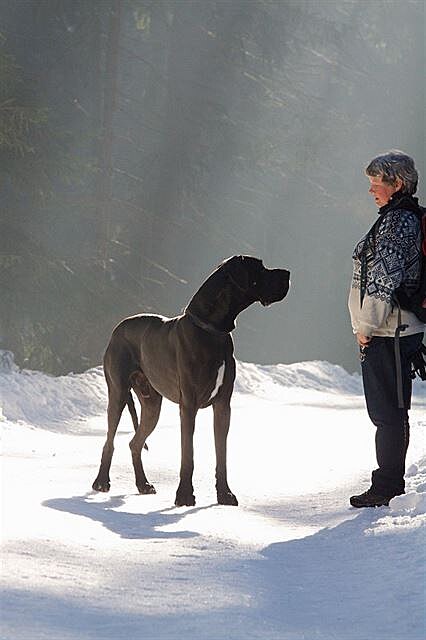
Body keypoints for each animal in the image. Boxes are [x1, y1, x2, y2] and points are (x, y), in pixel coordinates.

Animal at [93, 255, 290, 504]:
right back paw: (101, 482)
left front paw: (224, 494)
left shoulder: (223, 406)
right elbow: (188, 455)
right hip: (118, 394)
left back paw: (143, 484)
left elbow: (221, 455)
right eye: (261, 268)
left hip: (152, 405)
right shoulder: (189, 405)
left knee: (135, 443)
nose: (288, 273)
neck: (213, 331)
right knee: (109, 441)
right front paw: (185, 495)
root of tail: (117, 328)